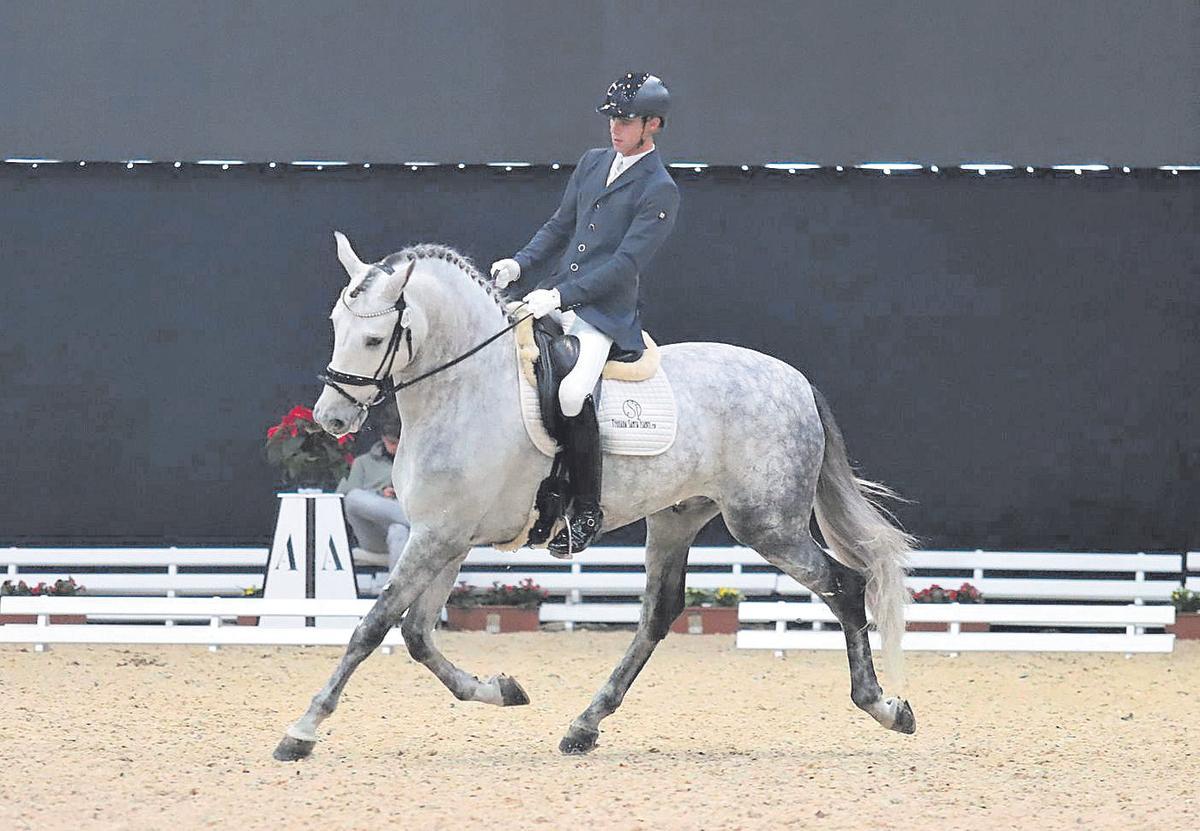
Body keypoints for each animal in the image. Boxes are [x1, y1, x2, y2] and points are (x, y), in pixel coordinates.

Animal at [272, 231, 912, 758]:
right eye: (336, 324)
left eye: (375, 336)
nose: (331, 419)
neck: (467, 387)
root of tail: (796, 380)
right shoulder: (447, 536)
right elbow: (416, 634)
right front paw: (502, 690)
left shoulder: (437, 536)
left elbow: (373, 626)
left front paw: (303, 729)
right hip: (678, 517)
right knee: (659, 615)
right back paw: (585, 725)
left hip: (766, 524)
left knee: (845, 586)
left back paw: (885, 707)